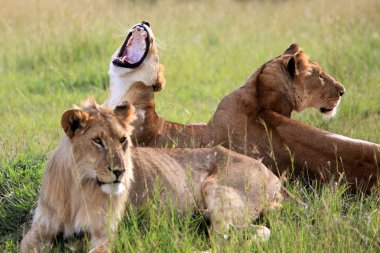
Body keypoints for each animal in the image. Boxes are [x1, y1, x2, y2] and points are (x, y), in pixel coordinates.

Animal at [20, 98, 282, 252]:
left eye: (122, 140)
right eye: (97, 141)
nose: (120, 172)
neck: (79, 186)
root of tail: (274, 176)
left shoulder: (104, 233)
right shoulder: (40, 228)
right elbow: (25, 245)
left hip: (217, 191)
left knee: (223, 242)